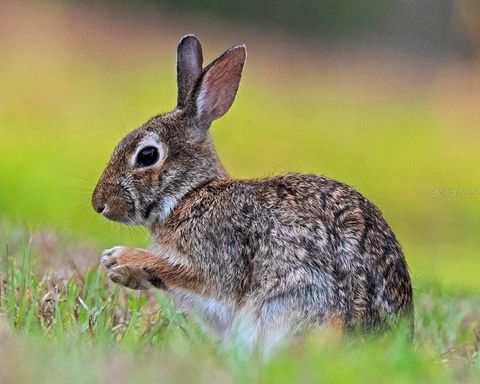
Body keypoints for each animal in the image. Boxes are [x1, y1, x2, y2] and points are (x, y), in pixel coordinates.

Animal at [93, 34, 412, 356]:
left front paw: (119, 260)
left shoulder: (217, 262)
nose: (99, 204)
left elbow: (183, 276)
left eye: (147, 155)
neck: (190, 195)